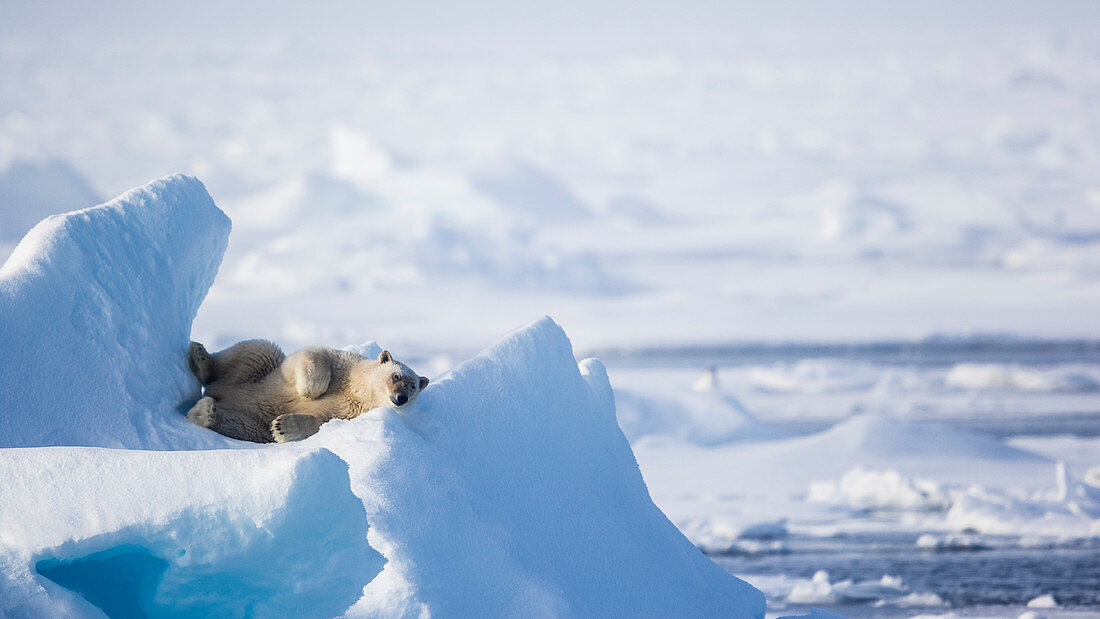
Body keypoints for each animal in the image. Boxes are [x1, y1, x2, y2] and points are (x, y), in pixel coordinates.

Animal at [187, 338, 426, 446]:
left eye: (413, 386)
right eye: (396, 376)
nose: (401, 398)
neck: (357, 391)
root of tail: (220, 393)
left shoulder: (351, 414)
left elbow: (320, 423)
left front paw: (282, 427)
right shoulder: (345, 364)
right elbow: (311, 355)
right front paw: (311, 390)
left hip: (253, 423)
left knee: (240, 425)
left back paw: (204, 412)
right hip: (258, 373)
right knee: (256, 351)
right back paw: (201, 357)